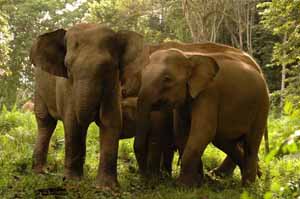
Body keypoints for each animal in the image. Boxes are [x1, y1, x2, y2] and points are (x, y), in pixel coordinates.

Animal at [29, 22, 148, 187]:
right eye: (68, 67)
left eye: (107, 67)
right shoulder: (66, 87)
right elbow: (72, 123)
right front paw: (72, 181)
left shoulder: (113, 86)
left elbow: (111, 122)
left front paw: (106, 187)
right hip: (39, 89)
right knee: (46, 123)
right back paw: (39, 173)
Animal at [134, 42, 270, 187]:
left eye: (167, 79)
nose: (144, 178)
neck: (189, 57)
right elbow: (181, 132)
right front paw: (196, 182)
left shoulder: (209, 94)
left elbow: (203, 131)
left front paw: (183, 186)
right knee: (224, 141)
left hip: (261, 106)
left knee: (250, 145)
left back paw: (248, 186)